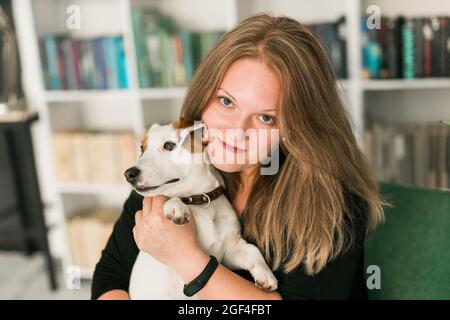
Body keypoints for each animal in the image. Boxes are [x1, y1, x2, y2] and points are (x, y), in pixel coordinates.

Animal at [124, 118, 278, 300]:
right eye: (142, 148)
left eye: (169, 145)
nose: (129, 174)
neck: (199, 200)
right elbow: (167, 197)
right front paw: (176, 206)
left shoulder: (230, 250)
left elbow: (253, 251)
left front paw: (266, 275)